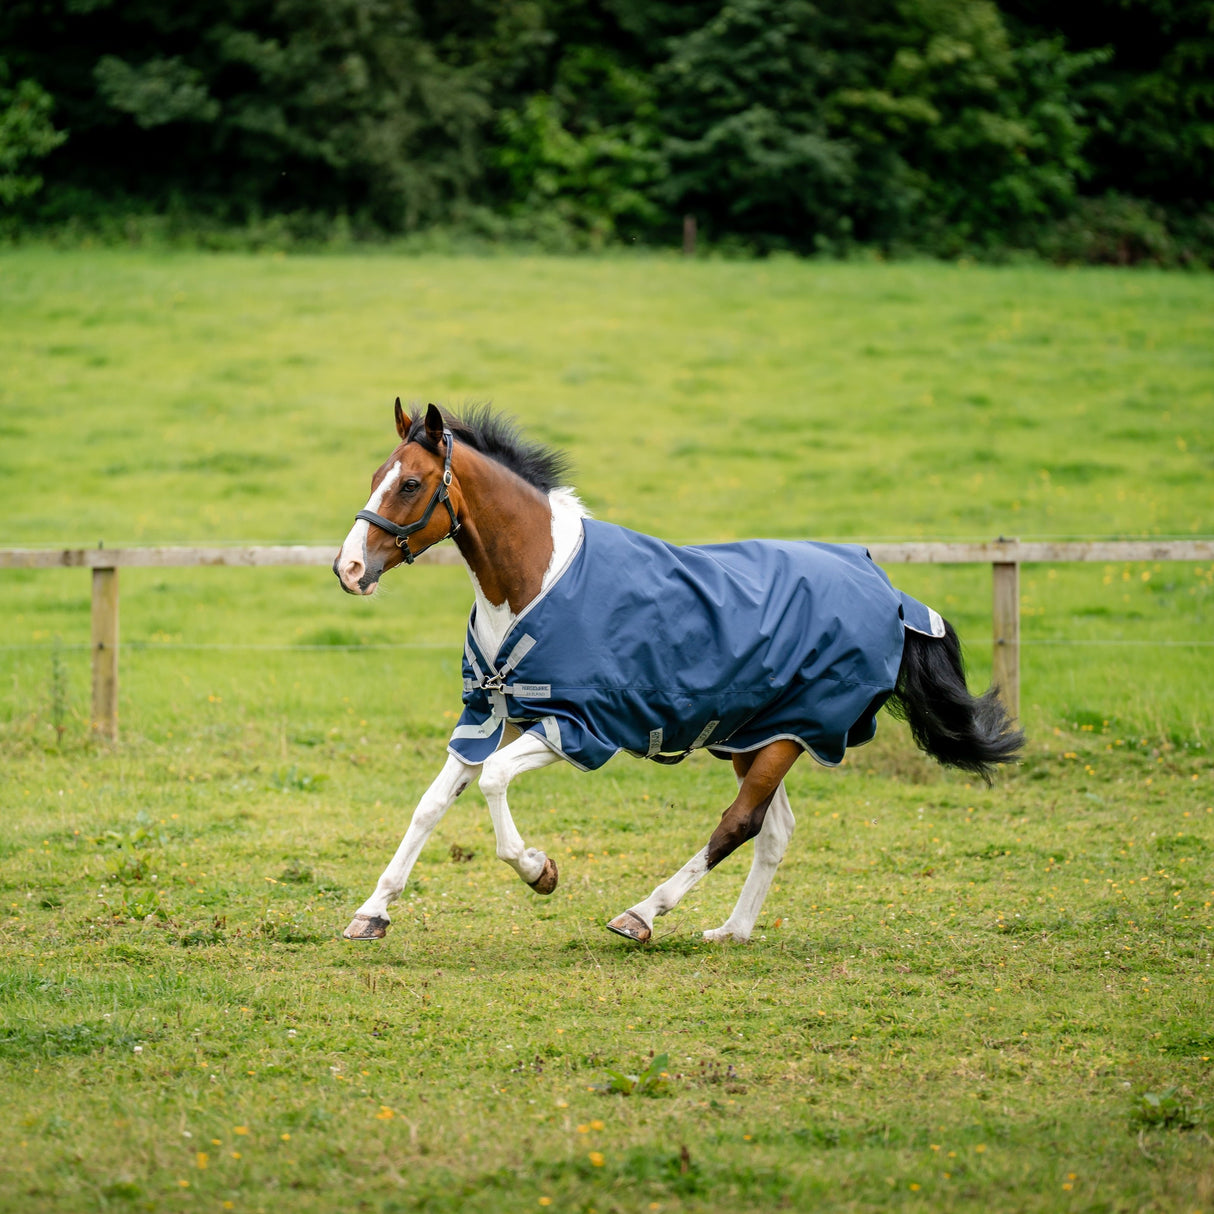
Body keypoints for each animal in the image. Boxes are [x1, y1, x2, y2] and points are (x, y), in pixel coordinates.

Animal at [332, 403, 1024, 942]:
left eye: (411, 484)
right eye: (374, 477)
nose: (349, 569)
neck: (536, 578)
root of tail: (894, 595)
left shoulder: (576, 726)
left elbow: (495, 782)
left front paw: (539, 871)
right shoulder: (487, 712)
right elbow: (430, 804)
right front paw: (372, 913)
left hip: (795, 733)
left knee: (739, 824)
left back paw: (641, 914)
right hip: (760, 735)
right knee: (773, 830)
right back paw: (732, 930)